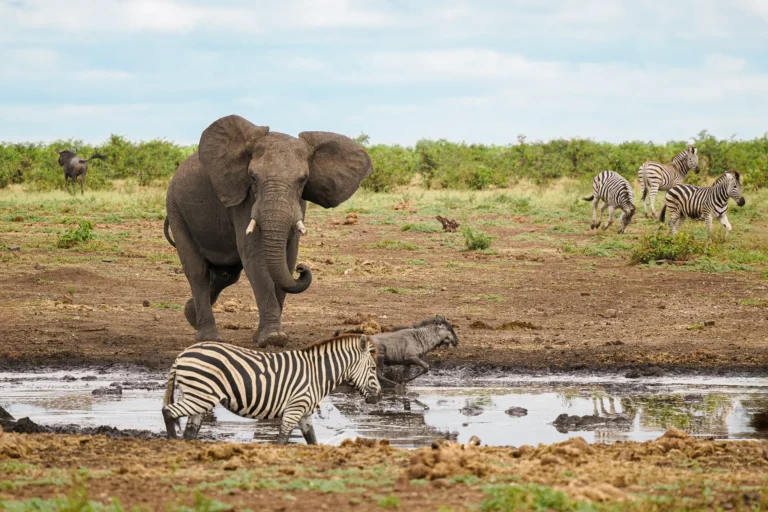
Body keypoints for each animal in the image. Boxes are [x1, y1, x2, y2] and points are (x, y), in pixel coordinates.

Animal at [161, 334, 382, 443]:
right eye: (373, 369)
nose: (378, 397)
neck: (317, 374)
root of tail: (182, 354)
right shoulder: (294, 410)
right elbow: (281, 441)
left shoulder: (304, 413)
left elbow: (313, 441)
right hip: (200, 396)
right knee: (168, 411)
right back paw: (172, 442)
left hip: (197, 396)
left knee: (190, 430)